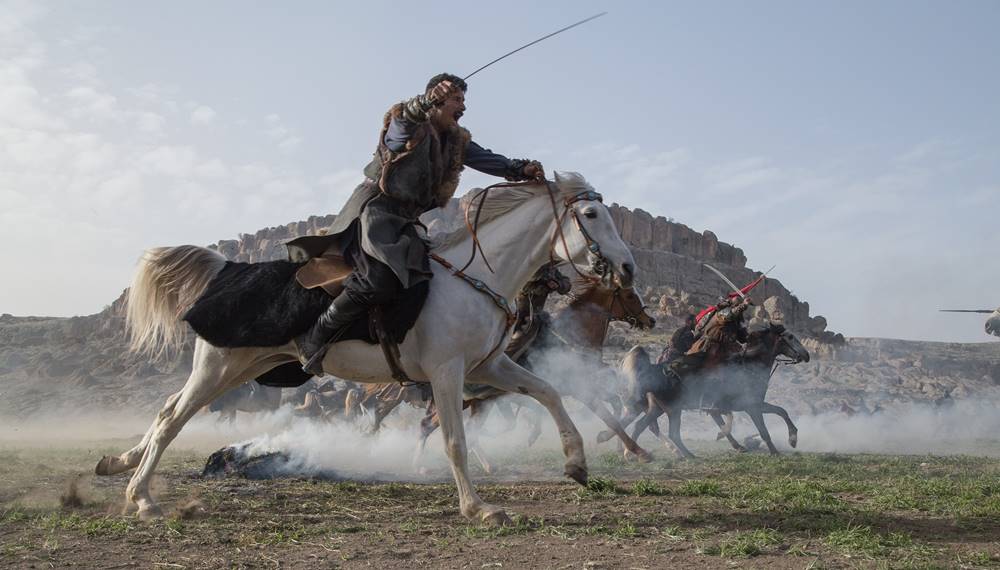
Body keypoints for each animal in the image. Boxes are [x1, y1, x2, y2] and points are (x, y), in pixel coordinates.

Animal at [97, 173, 636, 524]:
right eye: (590, 214)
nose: (628, 266)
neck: (476, 277)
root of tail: (230, 267)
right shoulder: (446, 373)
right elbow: (454, 440)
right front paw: (478, 507)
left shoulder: (490, 366)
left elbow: (548, 392)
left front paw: (576, 462)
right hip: (220, 367)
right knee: (172, 419)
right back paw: (141, 497)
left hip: (236, 368)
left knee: (166, 410)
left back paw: (120, 464)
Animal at [612, 320, 808, 458]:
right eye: (790, 337)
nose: (806, 355)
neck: (750, 366)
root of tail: (654, 370)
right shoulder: (752, 407)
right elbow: (765, 430)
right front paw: (780, 448)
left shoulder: (755, 405)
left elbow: (781, 411)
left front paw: (792, 439)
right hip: (673, 409)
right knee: (671, 433)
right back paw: (687, 455)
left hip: (658, 409)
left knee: (641, 426)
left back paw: (634, 454)